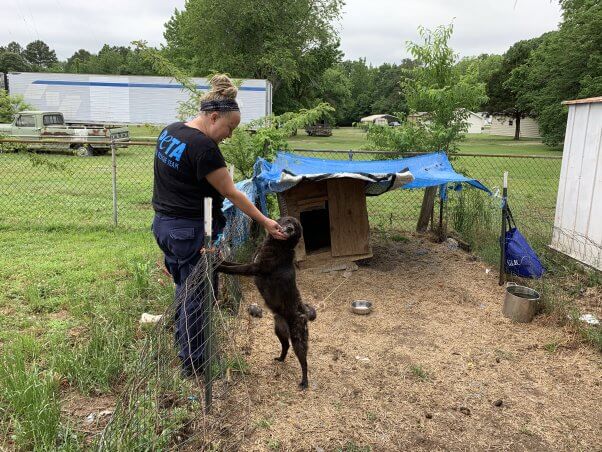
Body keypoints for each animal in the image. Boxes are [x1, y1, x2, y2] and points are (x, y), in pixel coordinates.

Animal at [217, 215, 316, 388]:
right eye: (288, 221)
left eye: (296, 228)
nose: (289, 229)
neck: (279, 246)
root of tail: (303, 310)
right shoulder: (253, 264)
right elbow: (232, 264)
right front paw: (216, 260)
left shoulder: (253, 268)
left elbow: (233, 268)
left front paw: (217, 267)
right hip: (279, 331)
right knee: (285, 345)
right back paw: (281, 359)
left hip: (298, 339)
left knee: (304, 361)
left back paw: (304, 381)